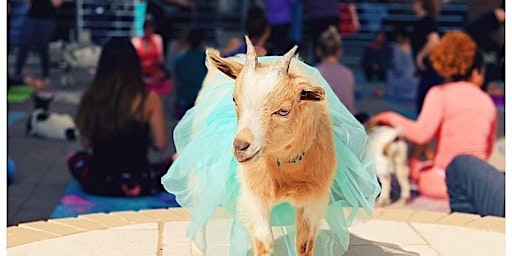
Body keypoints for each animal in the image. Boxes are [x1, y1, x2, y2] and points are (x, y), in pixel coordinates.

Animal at [206, 37, 338, 256]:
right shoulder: (253, 195)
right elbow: (264, 241)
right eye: (234, 99)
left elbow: (304, 244)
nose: (240, 146)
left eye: (283, 111)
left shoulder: (314, 199)